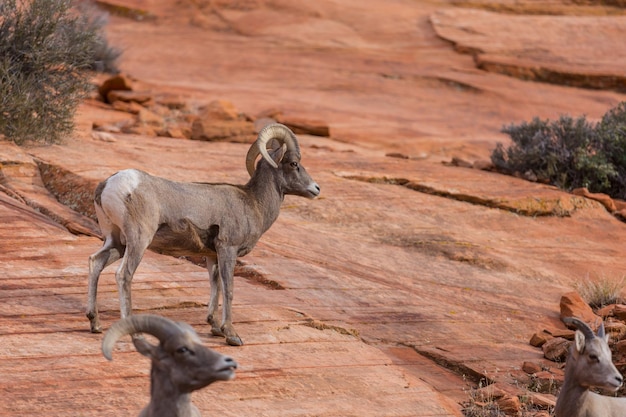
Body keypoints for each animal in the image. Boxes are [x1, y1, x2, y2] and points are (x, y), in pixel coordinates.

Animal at [86, 122, 320, 344]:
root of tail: (109, 184)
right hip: (139, 241)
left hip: (117, 242)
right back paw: (134, 334)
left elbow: (215, 286)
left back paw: (94, 323)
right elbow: (229, 289)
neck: (253, 203)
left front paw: (215, 327)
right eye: (294, 163)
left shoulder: (212, 256)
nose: (316, 189)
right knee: (123, 275)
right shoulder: (228, 249)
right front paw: (231, 335)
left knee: (95, 262)